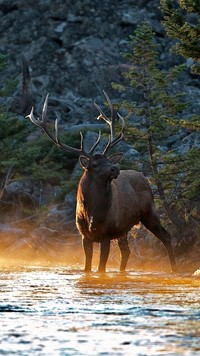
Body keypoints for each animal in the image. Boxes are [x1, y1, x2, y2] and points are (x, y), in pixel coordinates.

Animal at [27, 92, 177, 272]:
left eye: (108, 160)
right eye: (95, 164)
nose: (115, 168)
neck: (92, 213)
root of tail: (144, 177)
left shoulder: (106, 234)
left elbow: (101, 269)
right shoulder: (84, 235)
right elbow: (87, 268)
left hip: (149, 211)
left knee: (166, 236)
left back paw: (175, 269)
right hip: (123, 229)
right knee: (126, 251)